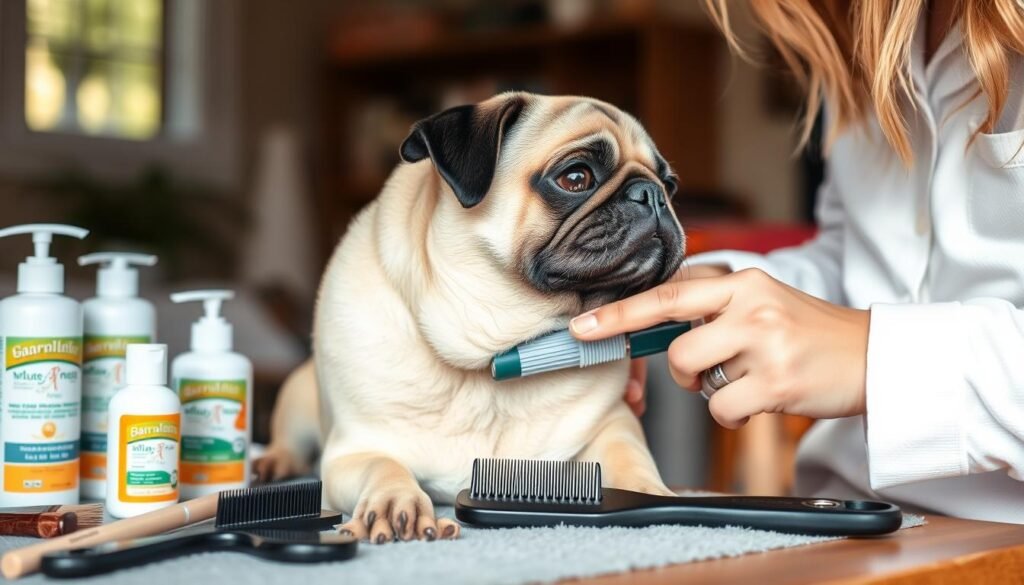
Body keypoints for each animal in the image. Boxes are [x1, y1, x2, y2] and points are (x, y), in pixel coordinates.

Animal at [258, 92, 688, 545]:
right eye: (576, 178)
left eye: (671, 186)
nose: (653, 194)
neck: (490, 347)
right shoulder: (353, 450)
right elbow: (384, 465)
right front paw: (395, 501)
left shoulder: (613, 424)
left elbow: (629, 455)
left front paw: (649, 493)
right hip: (299, 397)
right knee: (288, 442)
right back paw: (272, 463)